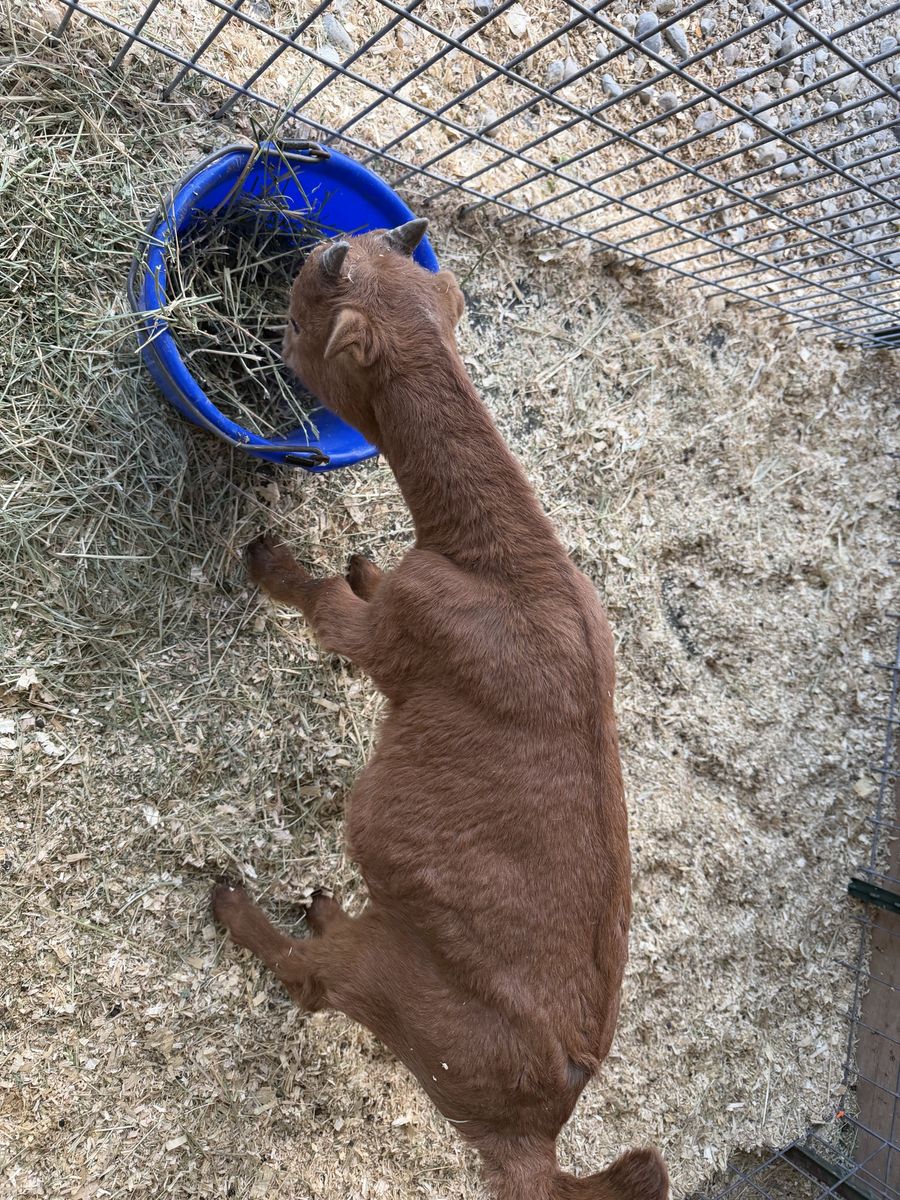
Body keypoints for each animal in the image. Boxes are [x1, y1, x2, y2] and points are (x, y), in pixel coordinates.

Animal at [212, 218, 669, 1200]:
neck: (502, 552)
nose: (268, 332)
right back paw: (322, 905)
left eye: (300, 310)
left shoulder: (395, 634)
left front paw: (275, 562)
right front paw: (361, 561)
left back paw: (240, 908)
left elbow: (323, 605)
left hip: (394, 985)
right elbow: (357, 582)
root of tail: (541, 1124)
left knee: (310, 980)